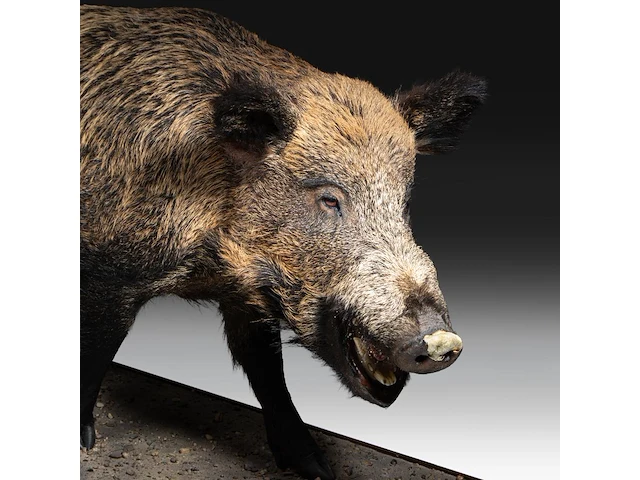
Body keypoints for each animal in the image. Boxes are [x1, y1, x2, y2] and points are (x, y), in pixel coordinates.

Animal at [80, 5, 486, 480]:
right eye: (329, 199)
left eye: (402, 204)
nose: (442, 340)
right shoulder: (110, 268)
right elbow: (97, 350)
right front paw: (85, 443)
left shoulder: (247, 296)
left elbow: (268, 373)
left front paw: (316, 467)